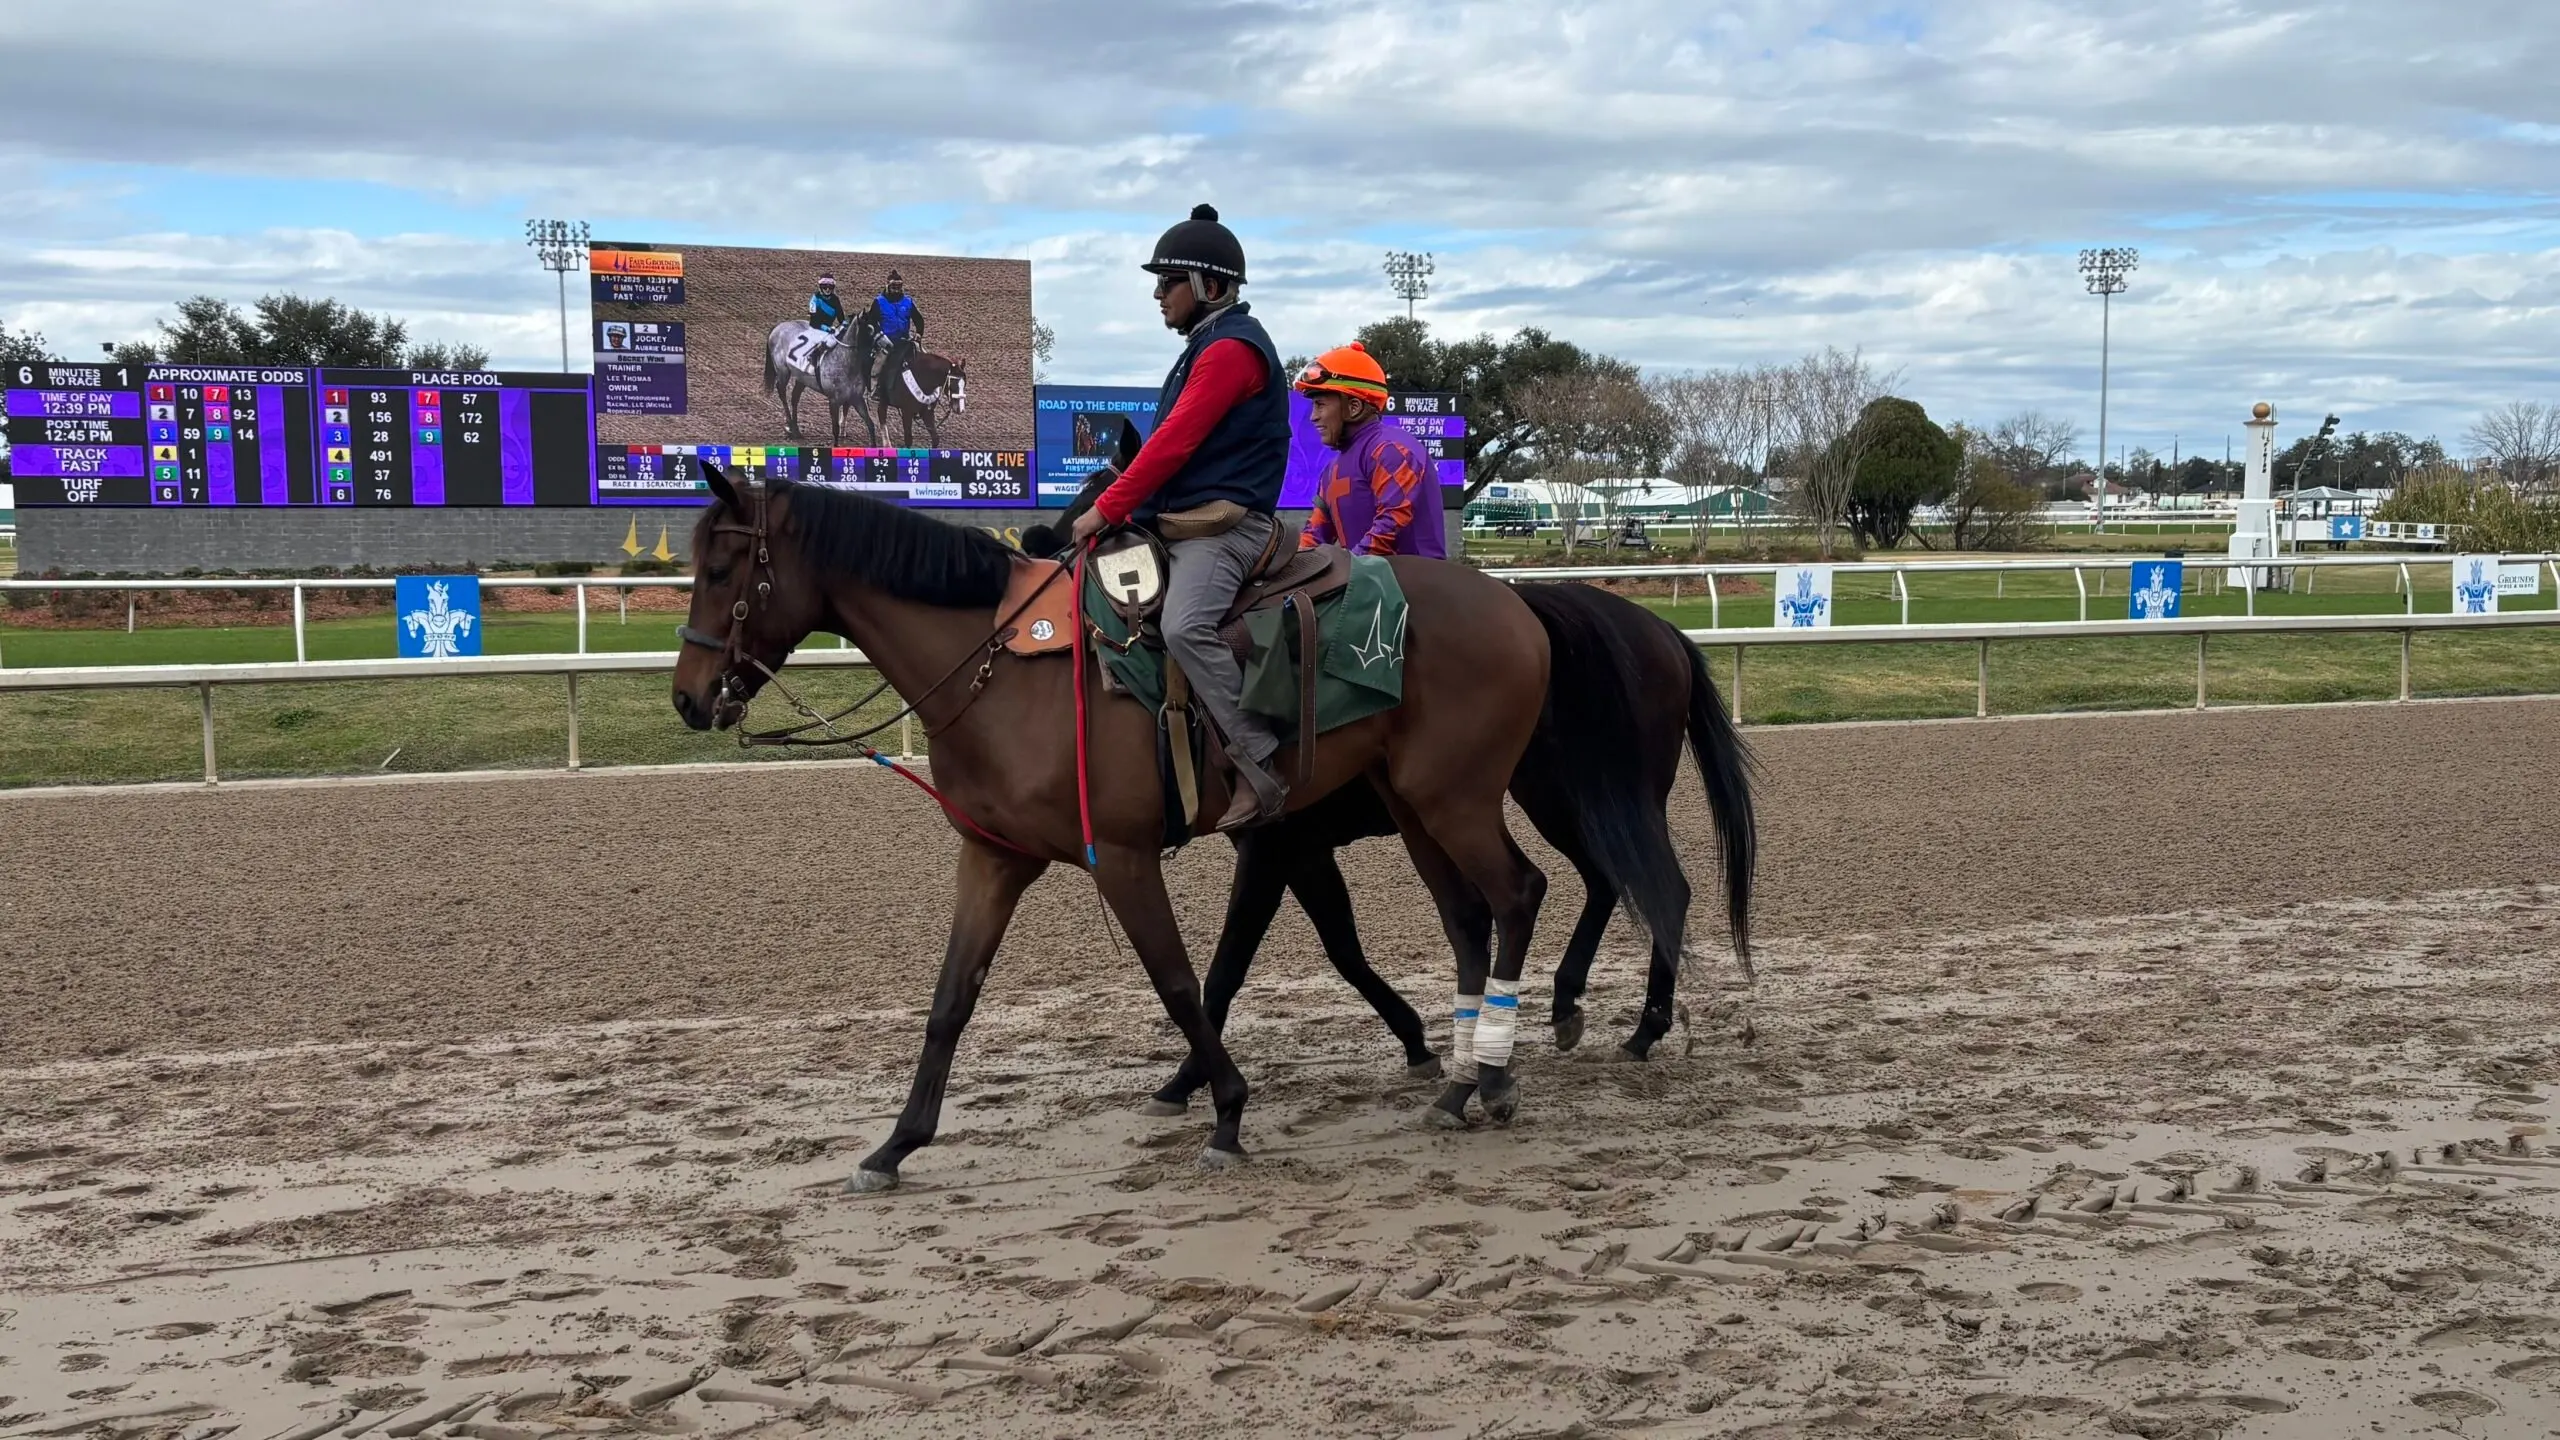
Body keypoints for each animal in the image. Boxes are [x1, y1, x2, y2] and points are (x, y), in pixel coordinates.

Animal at [673, 465, 1556, 1191]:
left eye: (718, 570)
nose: (688, 696)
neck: (1002, 665)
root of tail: (1514, 603)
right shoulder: (993, 858)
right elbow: (952, 998)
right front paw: (897, 1144)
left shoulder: (1126, 858)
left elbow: (1181, 981)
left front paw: (1227, 1112)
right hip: (1414, 804)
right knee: (1467, 917)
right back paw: (1461, 1082)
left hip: (1454, 798)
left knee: (1518, 893)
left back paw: (1496, 1073)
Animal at [1136, 580, 1756, 1113]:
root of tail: (1663, 631)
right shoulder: (1304, 852)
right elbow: (1342, 949)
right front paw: (1415, 1041)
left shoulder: (1273, 848)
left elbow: (1229, 967)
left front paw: (1183, 1080)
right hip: (1560, 799)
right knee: (1608, 881)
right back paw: (1570, 1006)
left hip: (1589, 796)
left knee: (1661, 889)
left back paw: (1644, 1028)